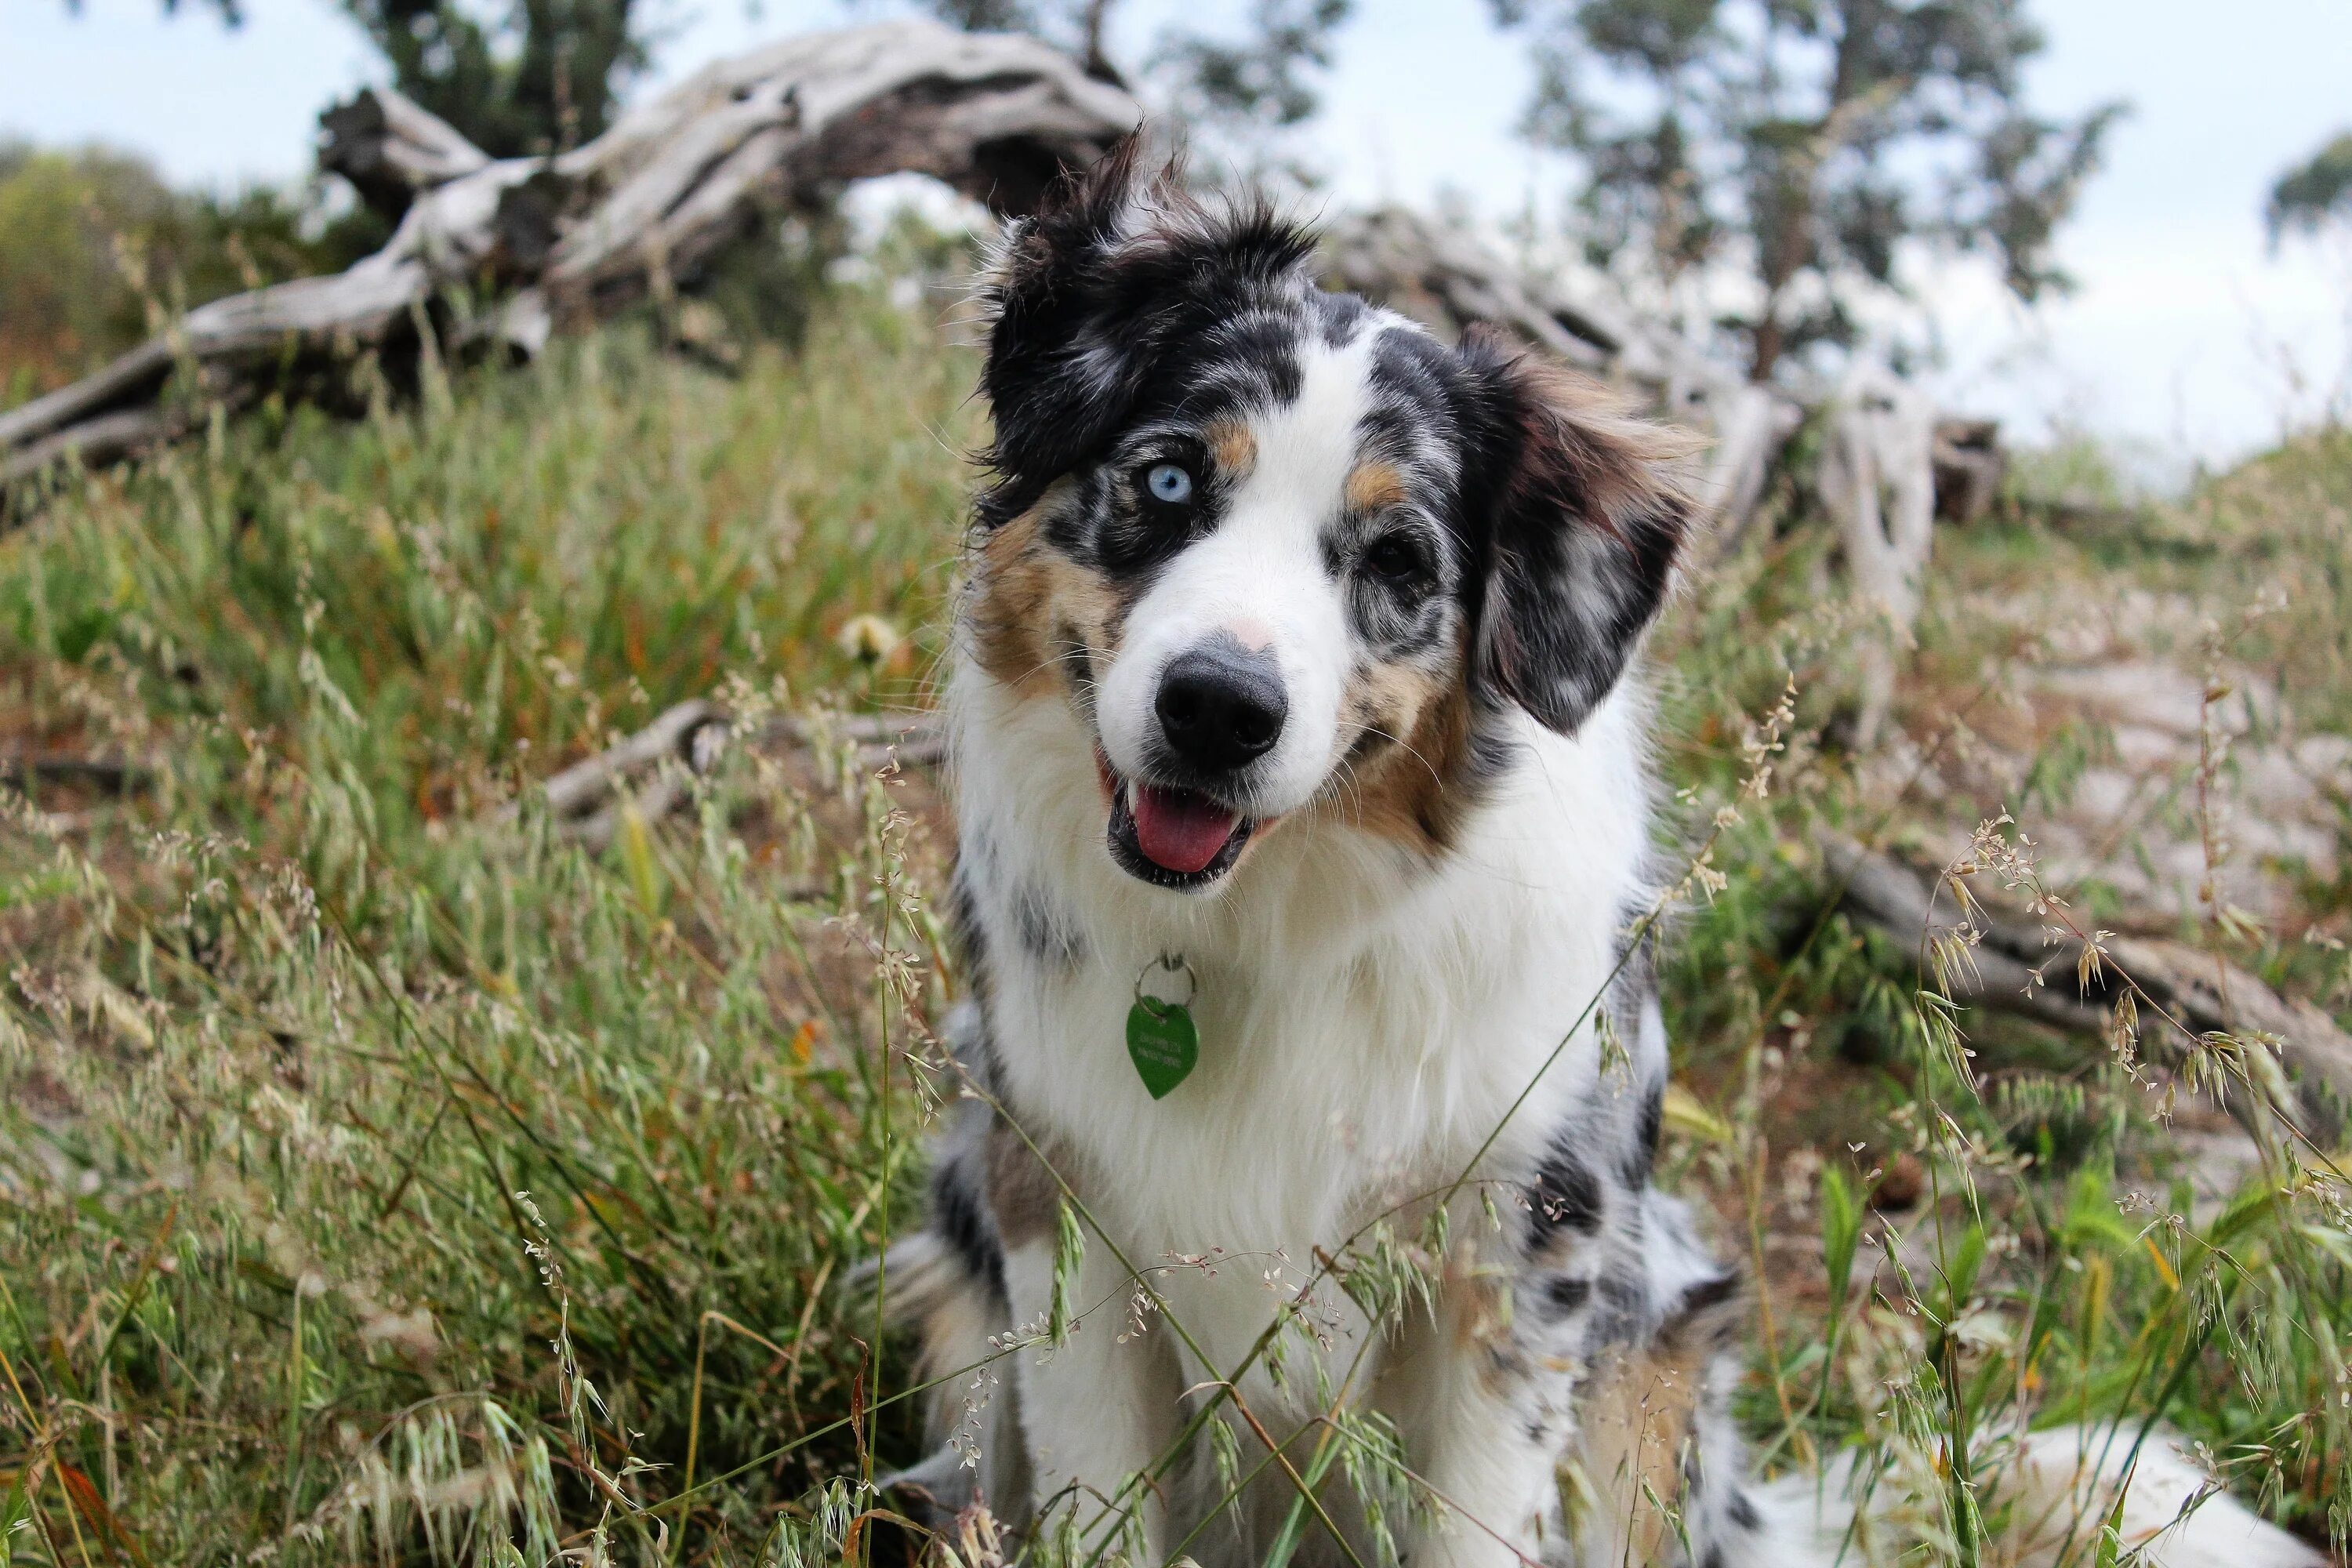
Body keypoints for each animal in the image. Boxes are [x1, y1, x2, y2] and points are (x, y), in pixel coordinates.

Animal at [870, 143, 2333, 1568]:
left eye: (1397, 560)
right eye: (1169, 481)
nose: (1218, 710)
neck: (1267, 924)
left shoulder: (1526, 1255)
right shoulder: (1056, 1223)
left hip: (1654, 1339)